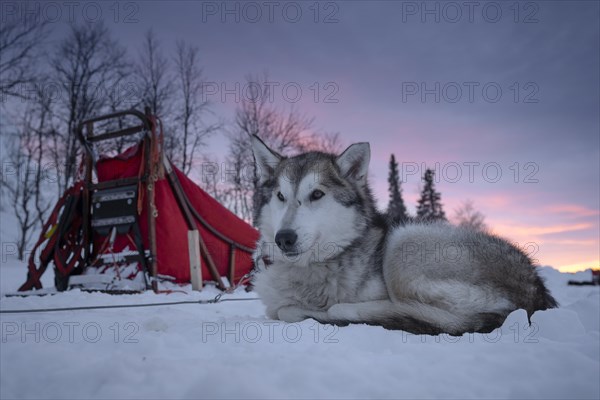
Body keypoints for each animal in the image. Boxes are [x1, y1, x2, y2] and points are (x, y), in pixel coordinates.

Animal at [250, 137, 556, 334]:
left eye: (316, 194)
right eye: (280, 196)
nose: (284, 238)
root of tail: (536, 292)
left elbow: (292, 310)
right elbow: (278, 309)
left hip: (404, 243)